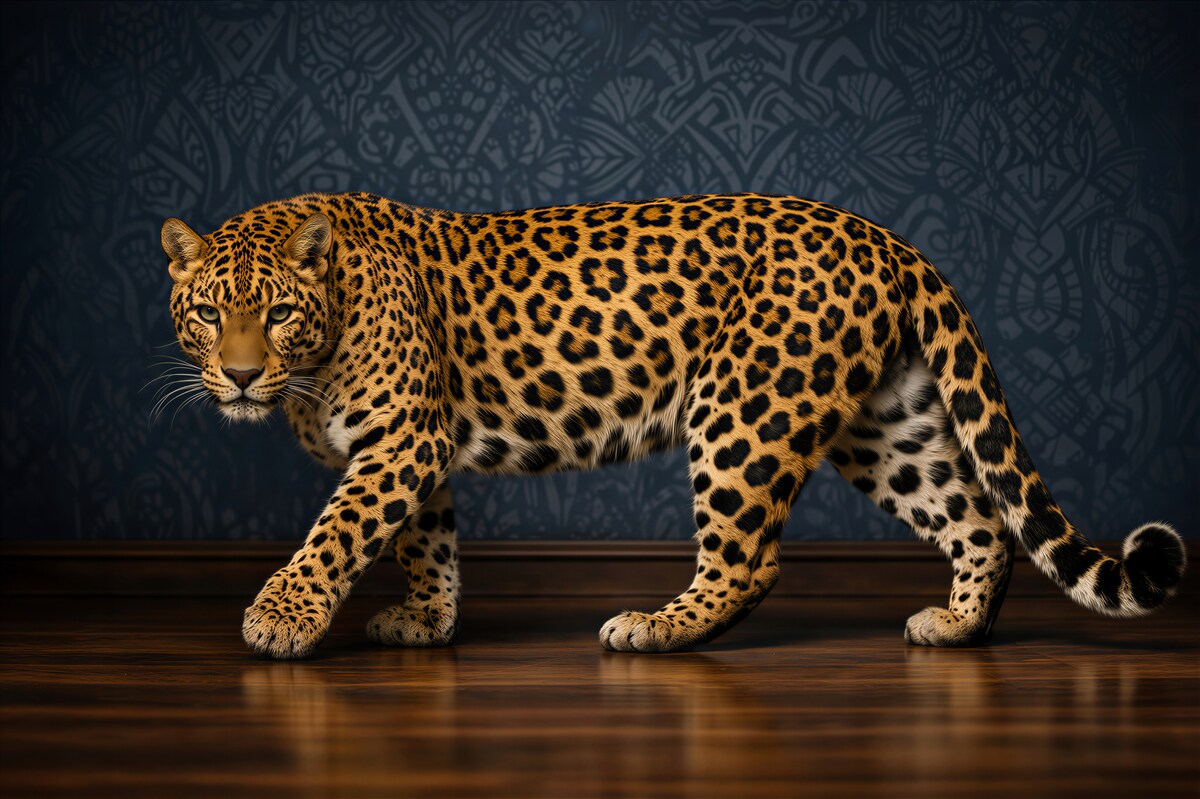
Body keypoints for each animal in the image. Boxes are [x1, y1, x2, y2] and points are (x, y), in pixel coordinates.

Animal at [160, 191, 1187, 659]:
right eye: (209, 313)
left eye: (276, 314)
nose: (240, 375)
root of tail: (885, 236)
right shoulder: (418, 448)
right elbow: (425, 539)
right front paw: (427, 618)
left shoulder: (399, 441)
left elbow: (335, 532)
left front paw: (279, 618)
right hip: (883, 423)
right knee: (978, 520)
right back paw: (959, 624)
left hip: (742, 409)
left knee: (749, 560)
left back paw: (655, 626)